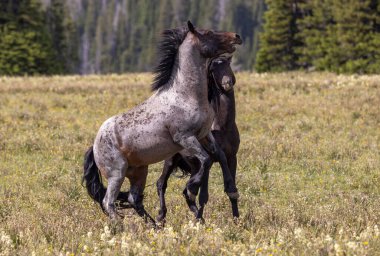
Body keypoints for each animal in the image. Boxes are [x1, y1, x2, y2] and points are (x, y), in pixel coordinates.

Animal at [156, 56, 239, 222]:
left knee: (185, 193)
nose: (227, 83)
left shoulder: (232, 157)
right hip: (171, 160)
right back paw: (162, 216)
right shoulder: (208, 159)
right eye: (212, 69)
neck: (223, 127)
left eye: (228, 64)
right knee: (161, 183)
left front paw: (237, 220)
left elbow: (230, 188)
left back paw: (198, 217)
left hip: (193, 165)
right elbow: (203, 196)